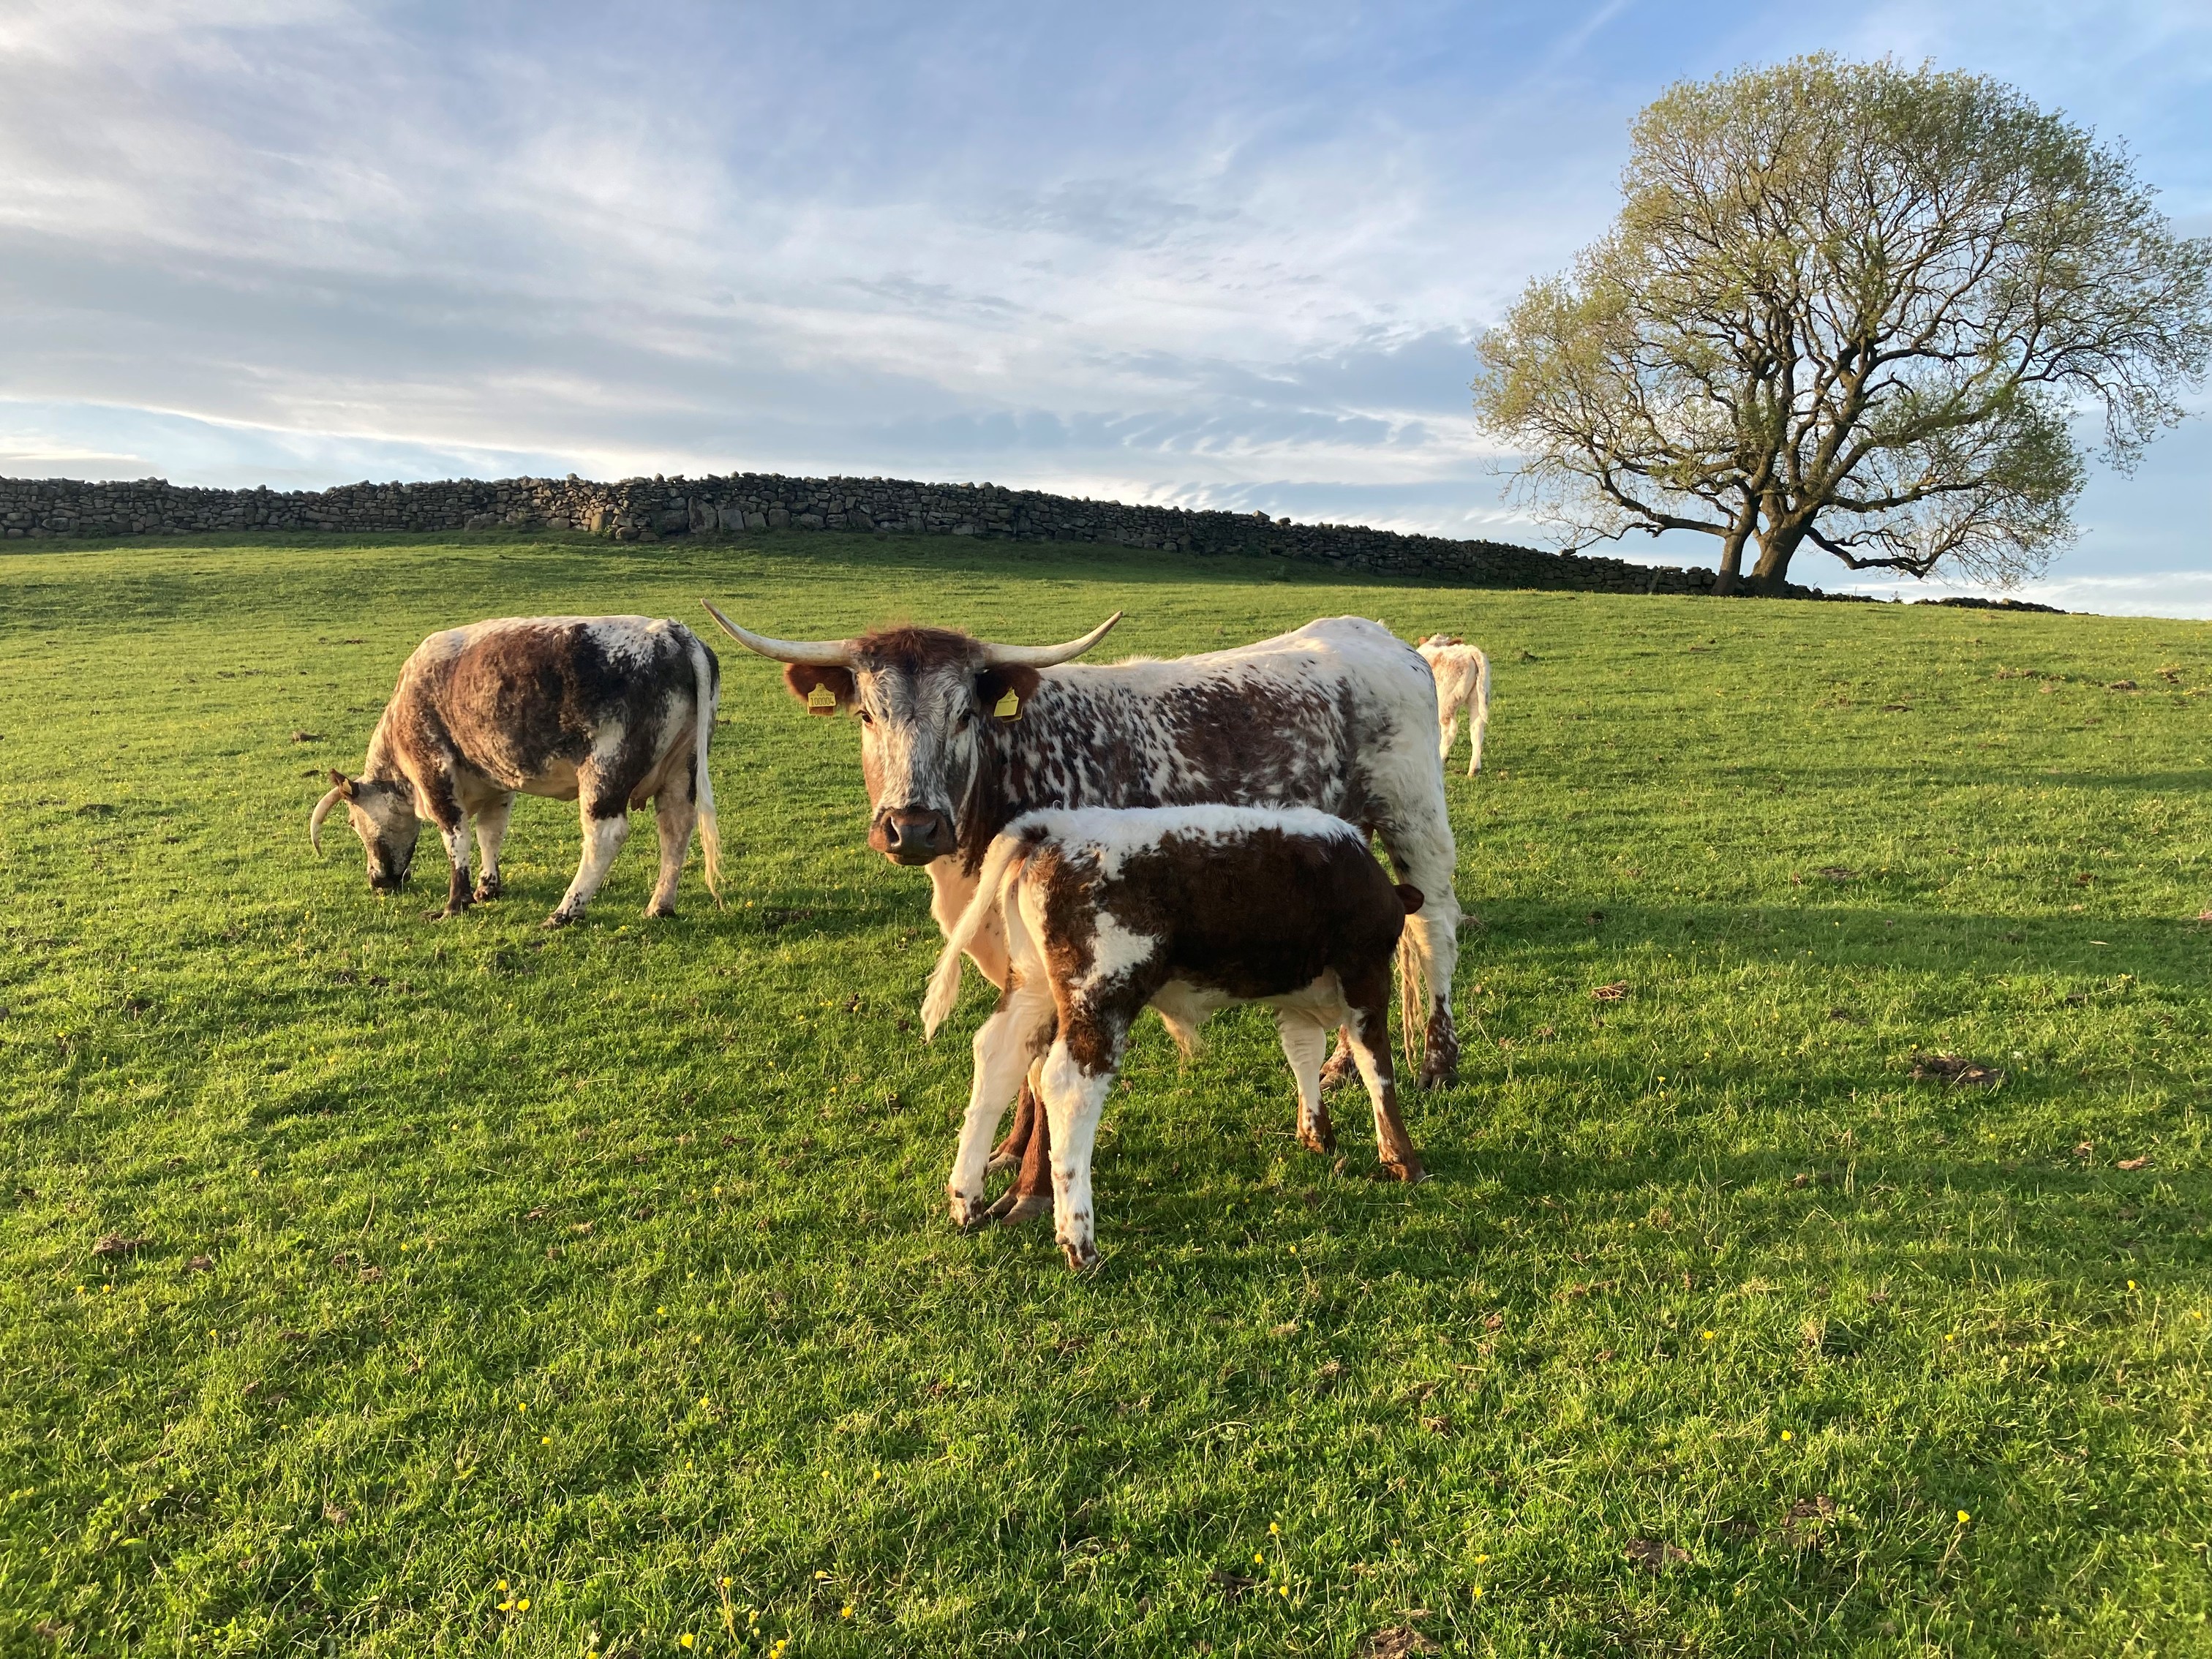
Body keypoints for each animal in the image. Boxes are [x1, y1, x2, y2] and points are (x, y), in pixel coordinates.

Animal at [309, 616, 722, 927]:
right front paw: (487, 887)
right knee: (675, 827)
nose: (377, 881)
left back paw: (565, 911)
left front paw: (455, 903)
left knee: (605, 836)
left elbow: (456, 838)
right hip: (681, 770)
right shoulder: (495, 780)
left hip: (606, 773)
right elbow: (490, 833)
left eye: (352, 822)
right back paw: (659, 906)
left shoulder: (435, 773)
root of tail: (670, 632)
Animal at [699, 604, 1463, 1215]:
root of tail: (1380, 635)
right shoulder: (1015, 951)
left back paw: (1438, 1064)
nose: (912, 828)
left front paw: (1030, 1185)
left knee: (1434, 930)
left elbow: (1045, 1069)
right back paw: (1339, 1066)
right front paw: (1010, 1151)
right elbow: (1019, 1060)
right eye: (867, 714)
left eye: (964, 713)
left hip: (1415, 816)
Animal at [923, 805, 1426, 1269]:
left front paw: (1316, 1131)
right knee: (1068, 1087)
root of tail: (1052, 826)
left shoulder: (1295, 995)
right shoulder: (1365, 975)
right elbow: (1376, 1066)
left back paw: (966, 1201)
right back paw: (1079, 1241)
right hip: (1101, 993)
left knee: (997, 1058)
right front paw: (1402, 1158)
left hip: (1032, 984)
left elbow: (1304, 1054)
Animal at [1415, 634, 1491, 776]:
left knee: (1450, 730)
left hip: (1445, 704)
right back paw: (1474, 769)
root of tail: (1469, 650)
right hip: (1476, 700)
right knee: (1476, 730)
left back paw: (1441, 757)